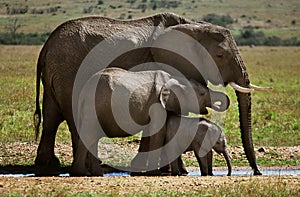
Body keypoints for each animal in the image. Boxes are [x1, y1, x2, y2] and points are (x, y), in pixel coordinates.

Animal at [71, 67, 230, 175]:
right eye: (202, 94)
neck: (174, 78)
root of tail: (82, 92)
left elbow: (151, 132)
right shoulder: (157, 103)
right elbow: (158, 133)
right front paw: (155, 173)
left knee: (92, 138)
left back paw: (96, 173)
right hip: (92, 107)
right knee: (89, 135)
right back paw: (81, 173)